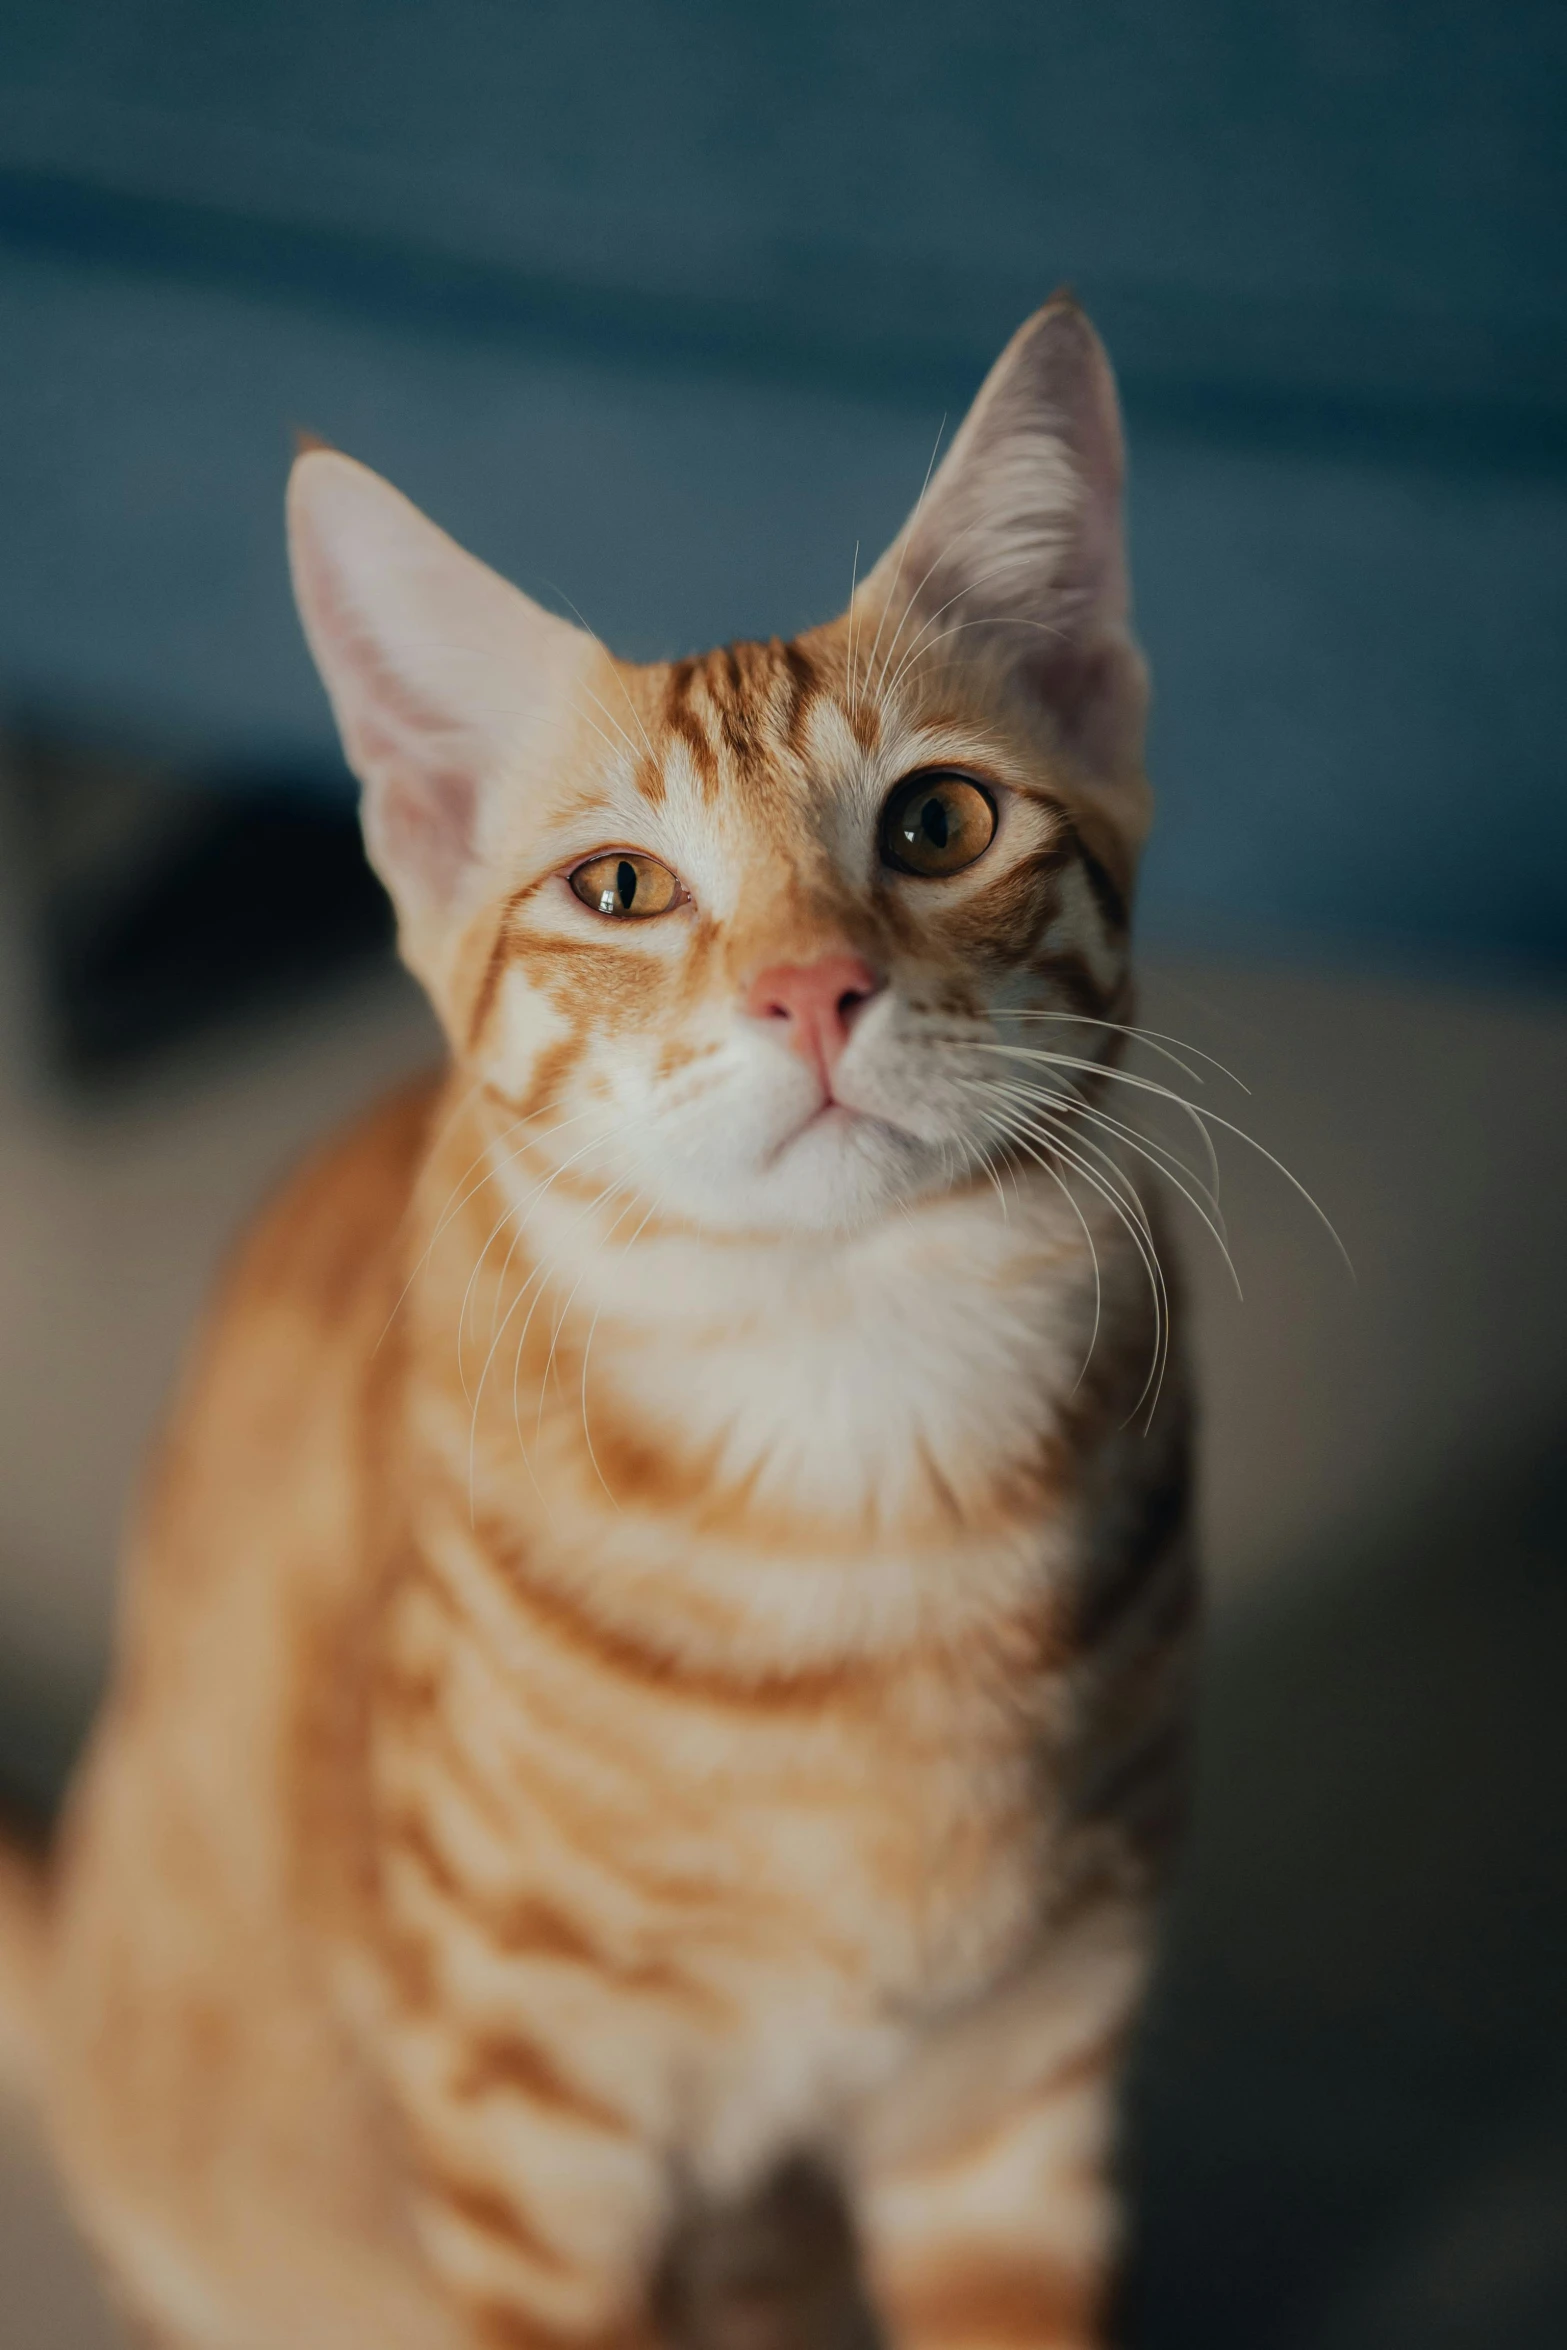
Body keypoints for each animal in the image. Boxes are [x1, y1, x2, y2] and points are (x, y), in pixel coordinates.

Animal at [0, 298, 1188, 2350]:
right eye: (618, 887)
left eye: (938, 820)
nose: (812, 986)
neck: (860, 1439)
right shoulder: (524, 2123)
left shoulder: (1021, 2076)